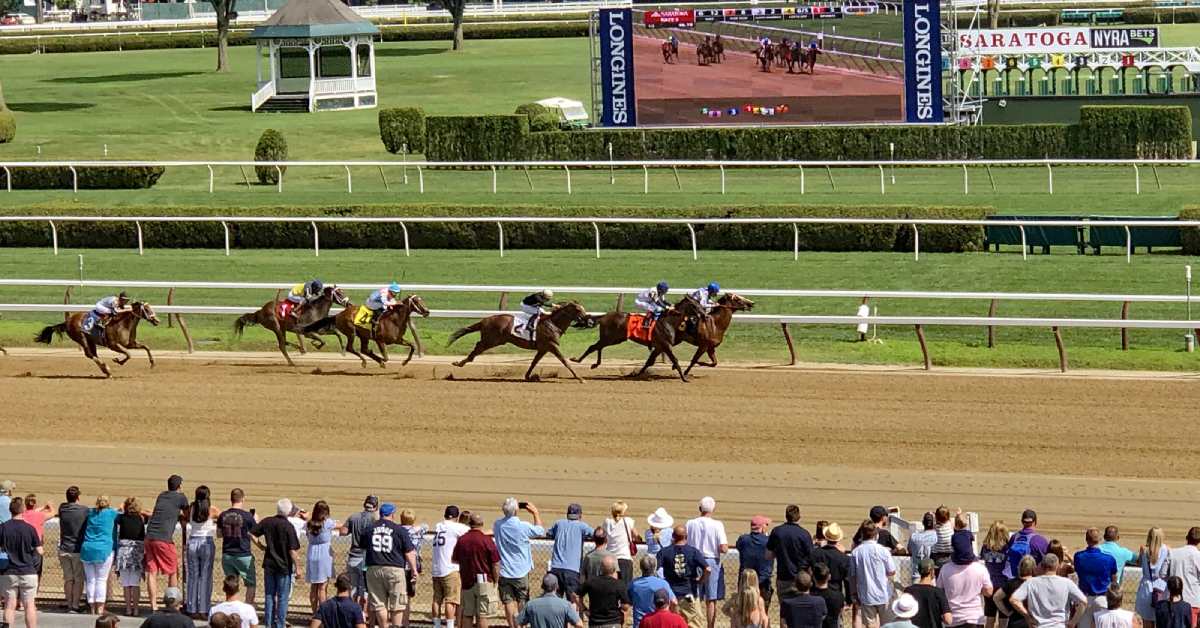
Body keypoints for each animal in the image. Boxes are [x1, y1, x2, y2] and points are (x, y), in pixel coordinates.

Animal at [446, 301, 590, 384]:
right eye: (578, 310)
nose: (588, 321)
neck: (553, 323)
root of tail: (484, 320)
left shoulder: (543, 348)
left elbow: (534, 362)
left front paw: (528, 376)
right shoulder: (552, 345)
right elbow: (565, 361)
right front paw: (580, 378)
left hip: (493, 340)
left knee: (478, 347)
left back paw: (461, 362)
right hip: (492, 340)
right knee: (478, 347)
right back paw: (460, 363)